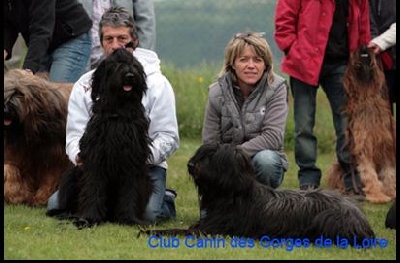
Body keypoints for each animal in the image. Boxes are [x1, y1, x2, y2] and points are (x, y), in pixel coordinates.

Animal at [4, 69, 73, 206]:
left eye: (20, 94)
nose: (6, 110)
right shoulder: (19, 153)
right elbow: (11, 169)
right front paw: (16, 195)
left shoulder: (55, 157)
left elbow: (50, 178)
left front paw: (41, 198)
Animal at [143, 144, 376, 248]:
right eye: (202, 152)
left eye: (212, 156)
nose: (191, 165)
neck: (233, 195)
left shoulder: (212, 229)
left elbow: (178, 231)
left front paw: (148, 231)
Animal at [326, 46, 396, 205]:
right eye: (353, 53)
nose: (364, 47)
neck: (367, 95)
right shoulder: (362, 145)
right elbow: (368, 172)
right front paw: (377, 195)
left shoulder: (387, 145)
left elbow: (389, 172)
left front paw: (391, 192)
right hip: (337, 167)